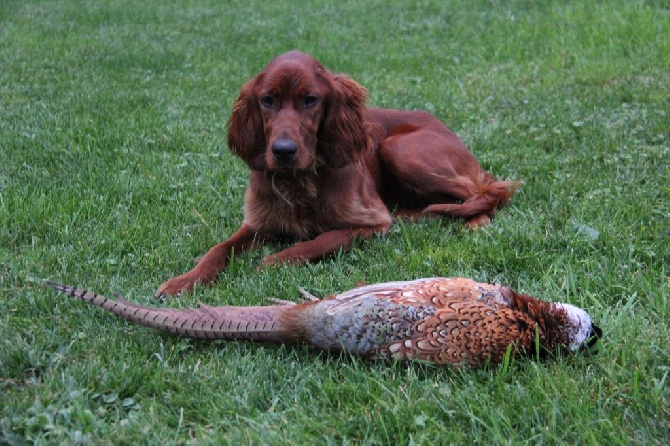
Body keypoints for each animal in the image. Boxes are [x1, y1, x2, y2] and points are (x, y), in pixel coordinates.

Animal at [158, 50, 520, 296]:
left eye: (310, 99)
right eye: (268, 100)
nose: (283, 151)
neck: (300, 182)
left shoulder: (373, 222)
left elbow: (322, 239)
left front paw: (275, 260)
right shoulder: (258, 224)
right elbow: (219, 248)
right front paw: (184, 281)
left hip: (399, 149)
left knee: (486, 192)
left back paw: (474, 220)